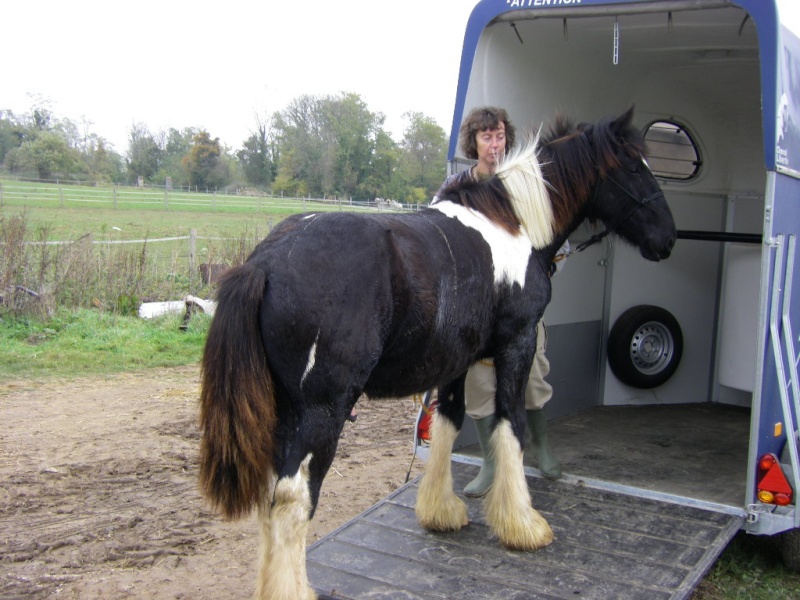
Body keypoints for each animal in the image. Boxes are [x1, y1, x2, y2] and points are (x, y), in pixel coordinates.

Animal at [198, 108, 676, 600]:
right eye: (635, 167)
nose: (669, 237)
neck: (515, 224)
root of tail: (267, 261)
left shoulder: (456, 360)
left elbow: (448, 421)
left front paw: (441, 511)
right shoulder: (517, 343)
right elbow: (511, 422)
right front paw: (523, 524)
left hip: (284, 411)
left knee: (272, 497)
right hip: (320, 412)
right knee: (294, 500)